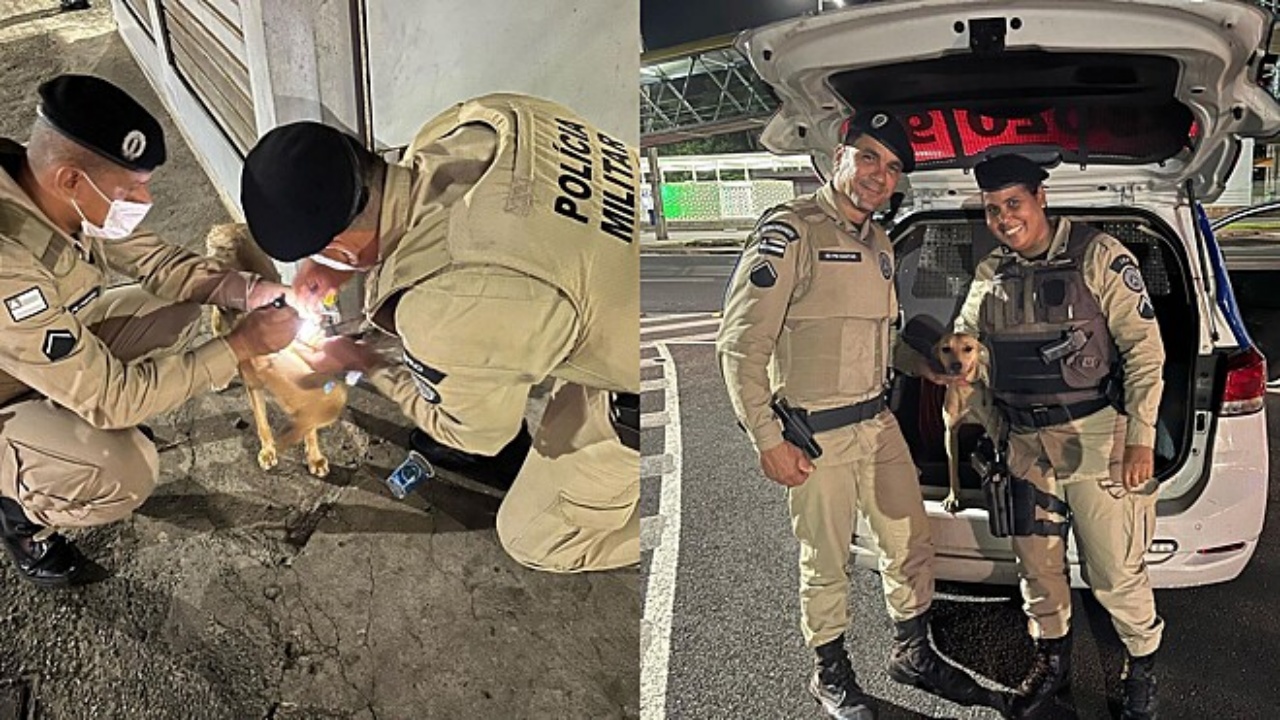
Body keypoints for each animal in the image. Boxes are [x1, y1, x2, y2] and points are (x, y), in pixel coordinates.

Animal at [206, 221, 348, 474]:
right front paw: (268, 451)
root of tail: (227, 227)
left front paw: (314, 457)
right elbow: (262, 422)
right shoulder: (253, 384)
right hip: (217, 318)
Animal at [936, 330, 993, 509]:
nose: (956, 365)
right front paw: (953, 497)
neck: (963, 389)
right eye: (946, 348)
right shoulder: (950, 433)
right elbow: (952, 467)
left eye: (968, 348)